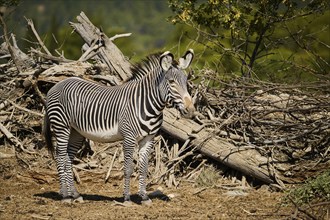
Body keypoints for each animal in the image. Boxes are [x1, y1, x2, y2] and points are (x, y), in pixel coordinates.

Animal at [42, 49, 195, 205]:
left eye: (186, 82)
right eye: (171, 82)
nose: (190, 111)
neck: (147, 104)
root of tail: (58, 84)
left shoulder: (148, 139)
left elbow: (143, 168)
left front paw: (144, 197)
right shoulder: (129, 138)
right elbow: (128, 168)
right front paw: (127, 198)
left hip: (76, 131)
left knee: (68, 158)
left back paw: (75, 194)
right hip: (62, 126)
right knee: (60, 157)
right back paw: (65, 196)